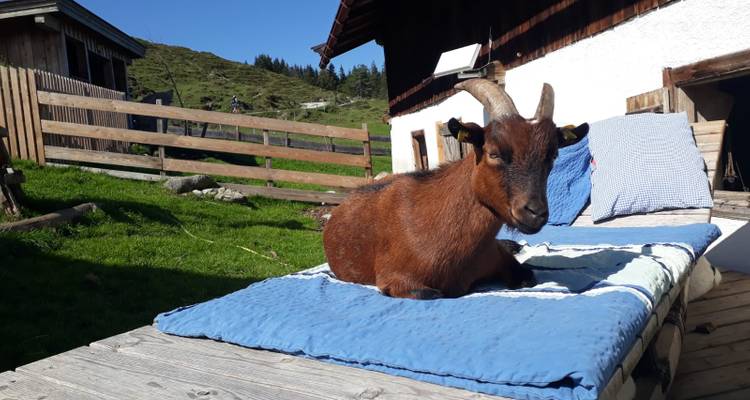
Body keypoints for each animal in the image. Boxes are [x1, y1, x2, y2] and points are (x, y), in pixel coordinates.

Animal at [323, 79, 562, 299]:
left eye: (552, 156)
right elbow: (430, 293)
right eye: (493, 153)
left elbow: (527, 276)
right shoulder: (396, 278)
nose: (536, 213)